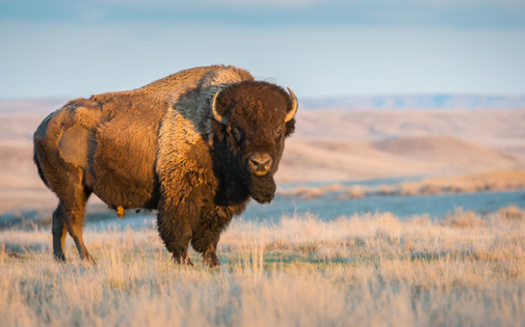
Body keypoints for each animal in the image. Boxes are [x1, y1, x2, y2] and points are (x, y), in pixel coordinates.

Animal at [34, 65, 296, 268]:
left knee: (58, 219)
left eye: (278, 130)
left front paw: (213, 262)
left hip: (75, 190)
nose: (260, 163)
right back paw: (89, 260)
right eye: (236, 130)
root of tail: (44, 126)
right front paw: (185, 262)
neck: (212, 126)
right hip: (73, 187)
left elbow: (210, 233)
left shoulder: (218, 203)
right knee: (73, 221)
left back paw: (61, 261)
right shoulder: (180, 193)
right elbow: (179, 228)